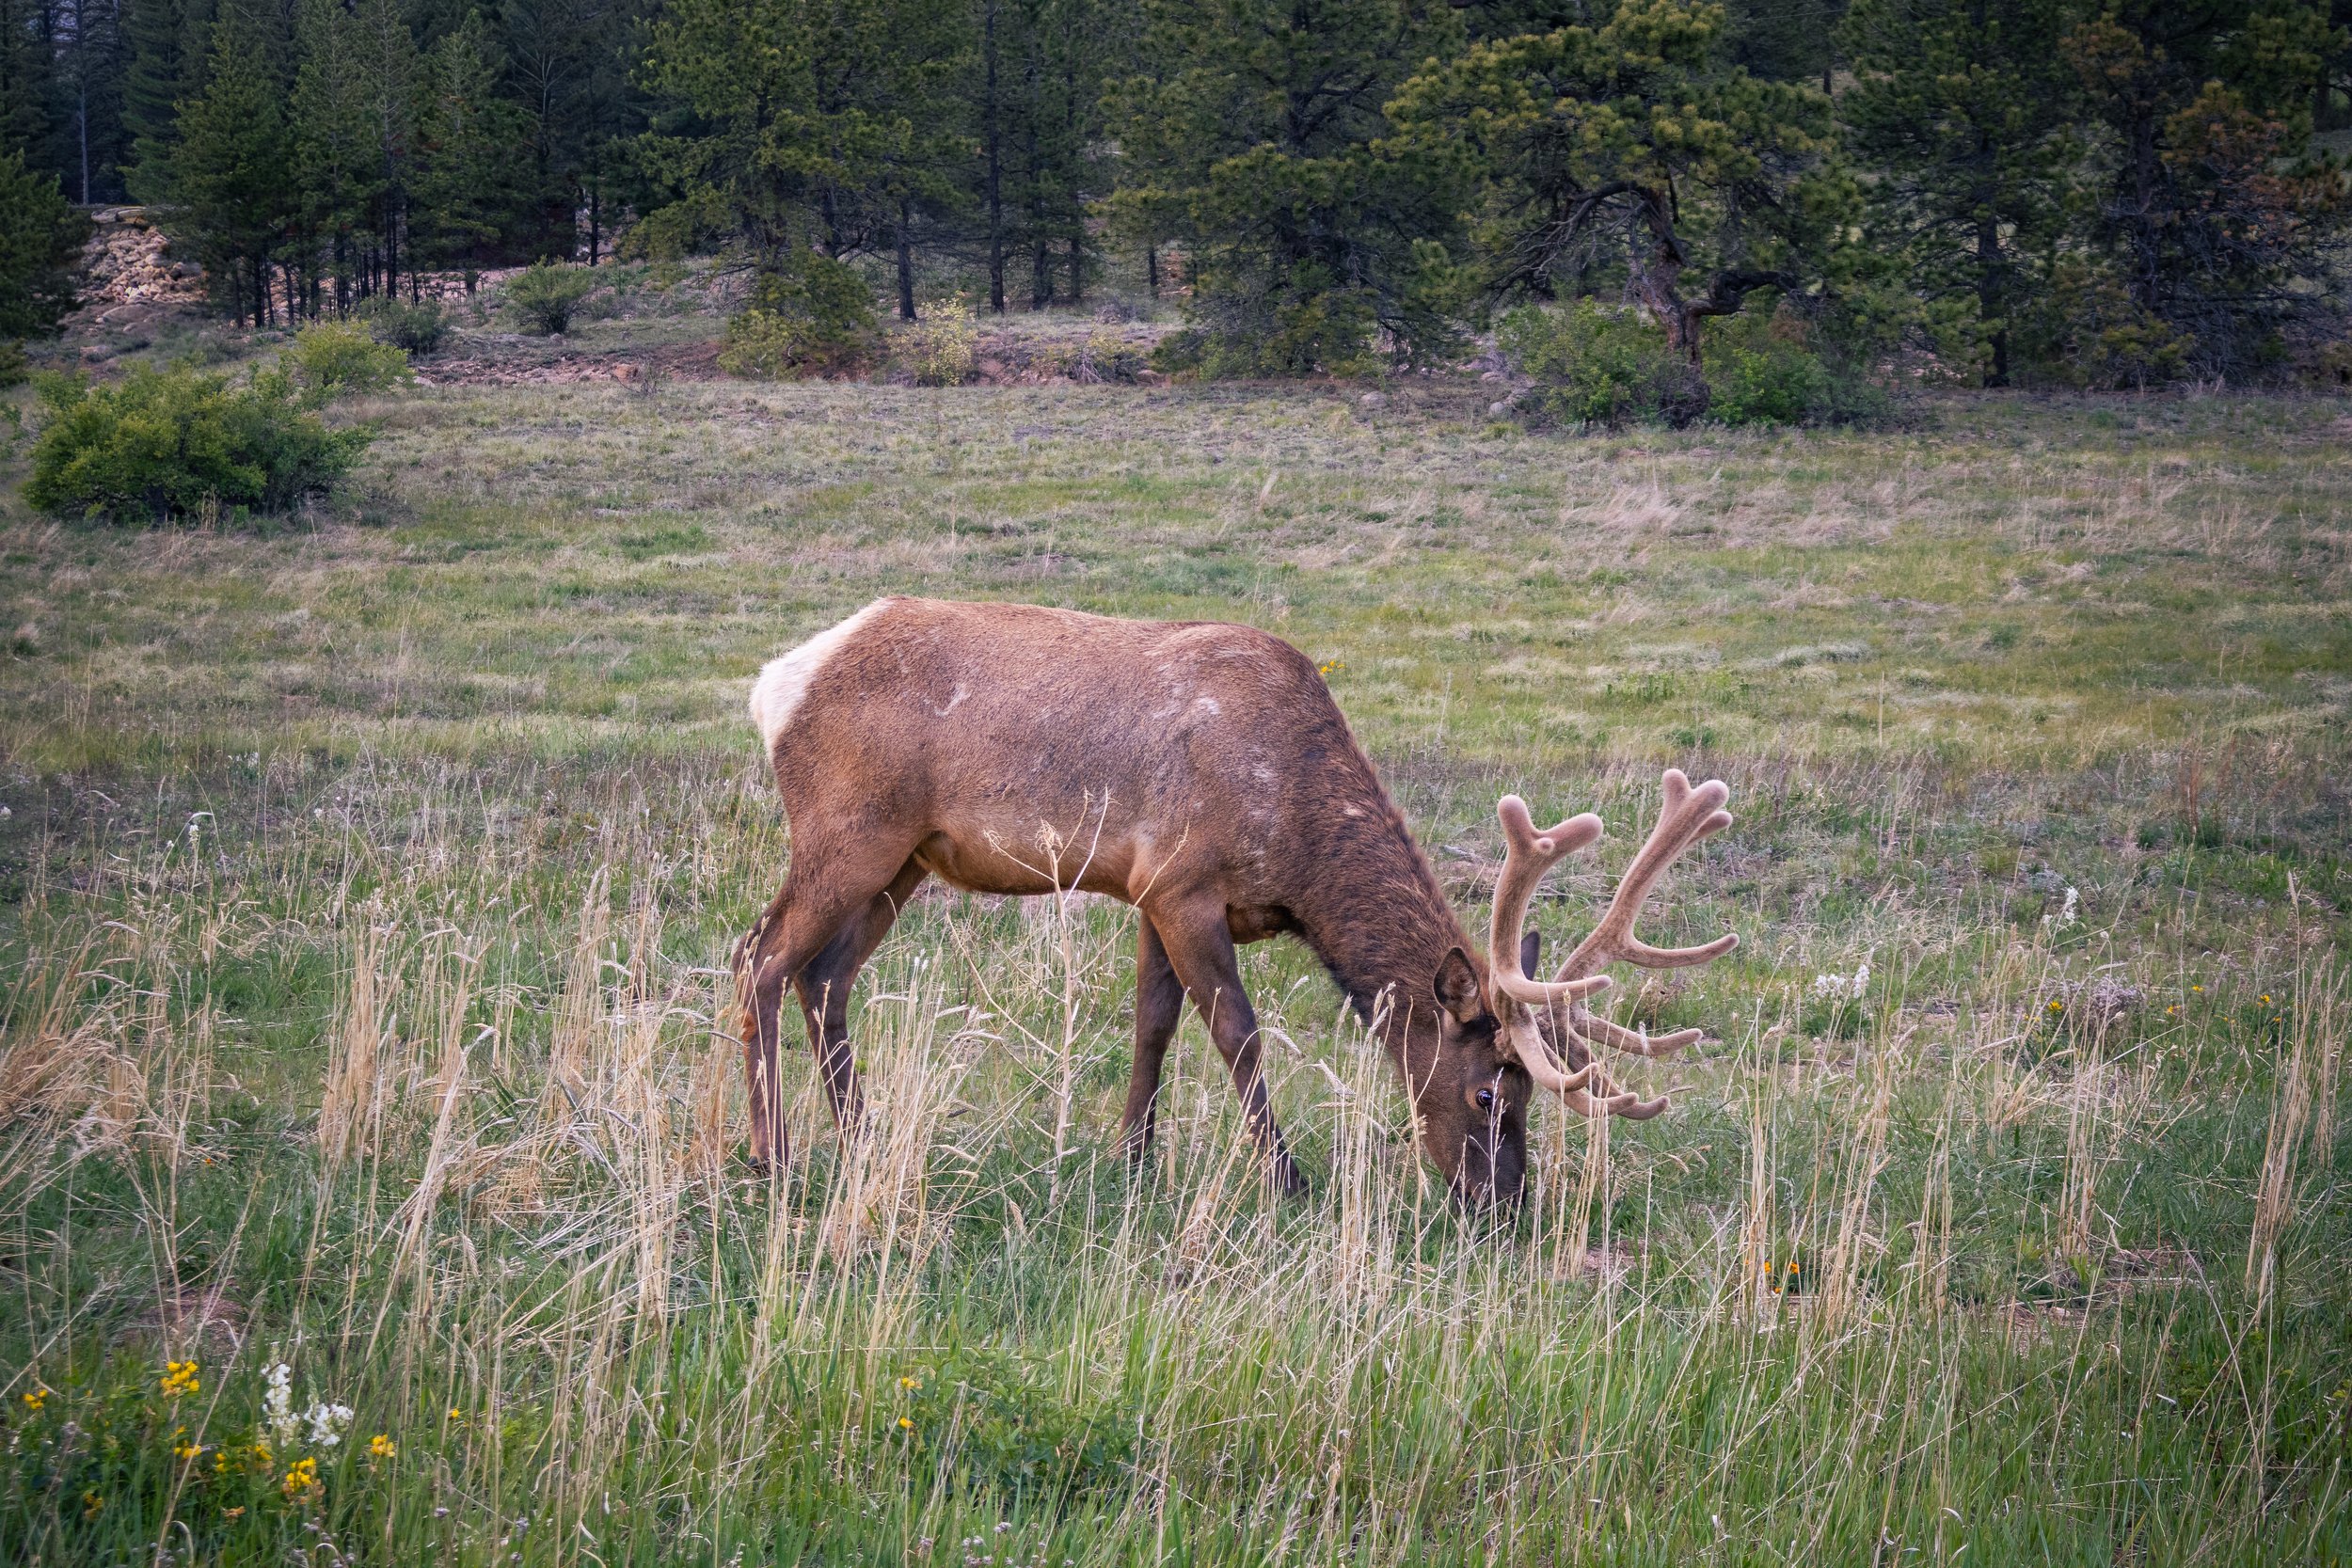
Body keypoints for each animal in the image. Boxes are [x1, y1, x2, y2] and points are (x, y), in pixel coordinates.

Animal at [733, 596, 1738, 1206]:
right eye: (1490, 1089)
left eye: (1531, 1087)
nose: (1505, 1206)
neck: (1296, 848)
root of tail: (775, 682)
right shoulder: (1182, 883)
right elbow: (1236, 1033)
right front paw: (1288, 1181)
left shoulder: (1147, 890)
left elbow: (1152, 1024)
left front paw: (1131, 1161)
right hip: (846, 830)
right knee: (761, 958)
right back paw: (774, 1156)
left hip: (904, 858)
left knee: (826, 979)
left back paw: (863, 1139)